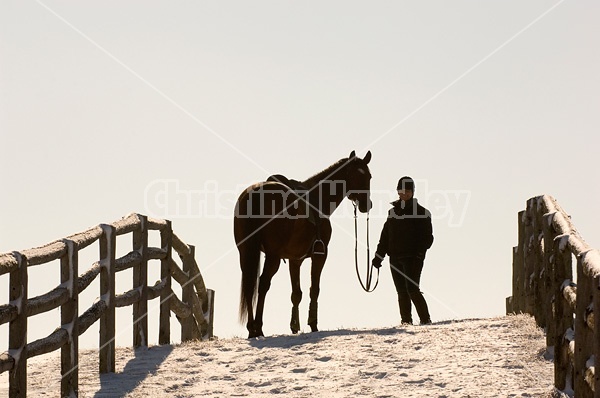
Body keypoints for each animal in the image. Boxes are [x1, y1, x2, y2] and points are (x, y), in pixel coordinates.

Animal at [233, 151, 370, 338]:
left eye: (369, 176)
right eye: (357, 176)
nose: (366, 205)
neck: (318, 199)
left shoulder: (294, 260)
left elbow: (296, 293)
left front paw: (294, 326)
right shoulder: (320, 255)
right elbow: (314, 289)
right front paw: (313, 324)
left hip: (246, 253)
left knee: (249, 286)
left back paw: (251, 329)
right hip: (272, 257)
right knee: (263, 284)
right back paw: (258, 327)